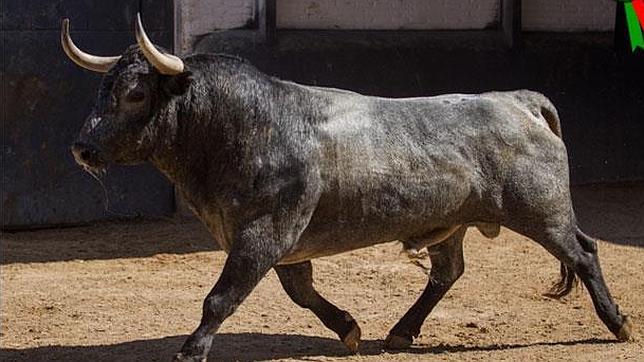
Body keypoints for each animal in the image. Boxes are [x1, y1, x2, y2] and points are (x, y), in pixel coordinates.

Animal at [61, 14, 632, 362]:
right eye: (103, 88)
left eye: (136, 94)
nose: (81, 150)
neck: (244, 125)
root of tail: (518, 99)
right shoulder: (282, 244)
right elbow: (301, 292)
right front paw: (349, 329)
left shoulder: (263, 234)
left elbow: (220, 298)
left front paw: (191, 349)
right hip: (452, 222)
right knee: (447, 271)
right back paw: (400, 333)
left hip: (542, 212)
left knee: (583, 251)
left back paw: (618, 324)